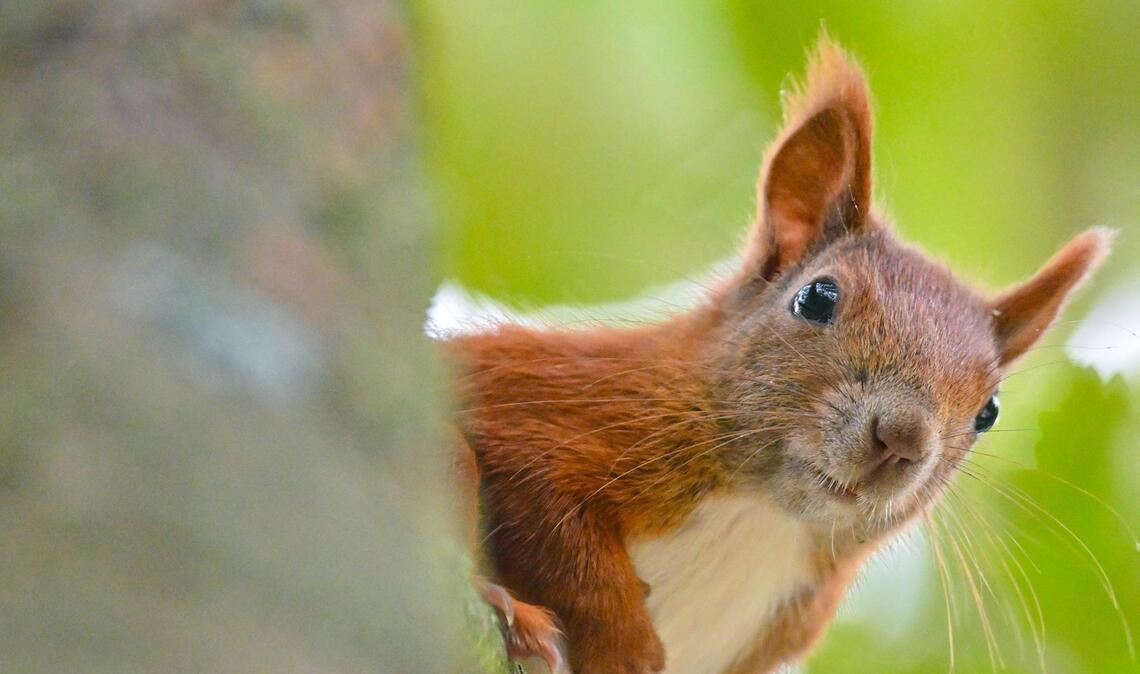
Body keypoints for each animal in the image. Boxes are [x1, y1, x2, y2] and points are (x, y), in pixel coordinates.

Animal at [444, 39, 1110, 674]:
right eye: (817, 298)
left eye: (989, 411)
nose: (902, 438)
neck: (766, 517)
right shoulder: (553, 401)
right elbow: (554, 519)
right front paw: (624, 645)